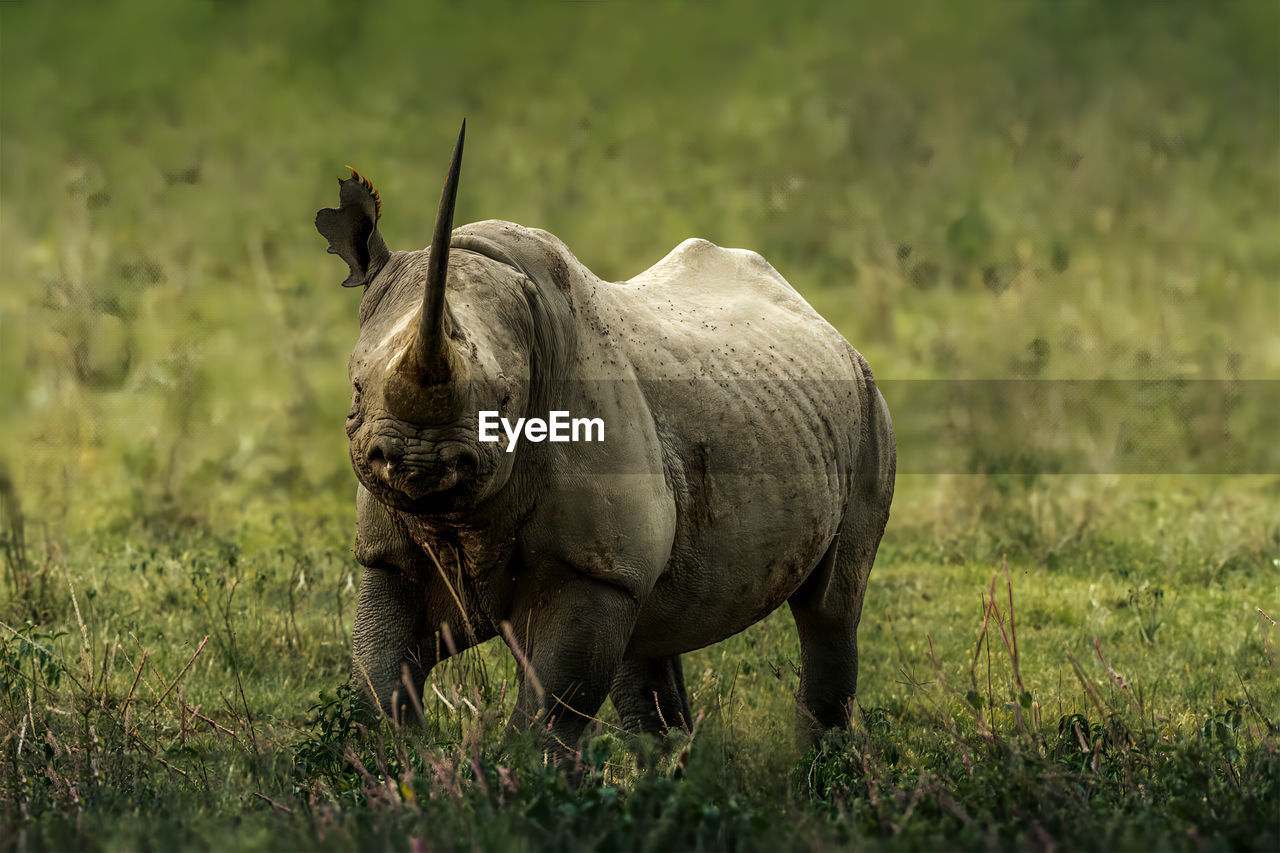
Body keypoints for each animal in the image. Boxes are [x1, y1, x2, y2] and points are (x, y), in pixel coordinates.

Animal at [316, 121, 896, 753]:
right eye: (355, 391)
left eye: (504, 404)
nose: (416, 463)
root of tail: (824, 323)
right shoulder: (390, 555)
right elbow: (379, 680)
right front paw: (405, 766)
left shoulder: (593, 571)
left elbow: (550, 711)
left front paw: (512, 776)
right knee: (650, 634)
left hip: (869, 410)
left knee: (830, 610)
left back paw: (823, 764)